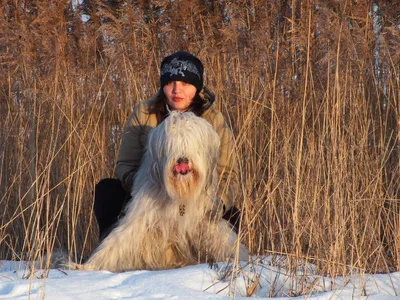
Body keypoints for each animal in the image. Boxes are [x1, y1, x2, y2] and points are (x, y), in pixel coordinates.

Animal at [73, 110, 247, 272]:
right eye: (172, 145)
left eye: (190, 143)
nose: (182, 160)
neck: (180, 194)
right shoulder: (143, 214)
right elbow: (118, 240)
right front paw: (88, 266)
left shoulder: (206, 217)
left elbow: (223, 239)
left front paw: (239, 259)